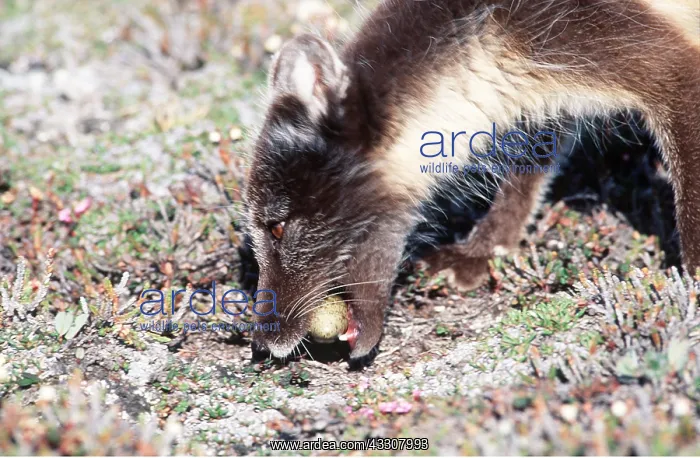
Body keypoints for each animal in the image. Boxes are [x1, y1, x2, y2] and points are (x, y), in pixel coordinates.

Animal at [245, 0, 700, 360]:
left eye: (277, 227)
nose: (261, 344)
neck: (489, 26)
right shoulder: (539, 98)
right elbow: (527, 178)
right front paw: (481, 252)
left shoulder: (667, 66)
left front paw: (692, 293)